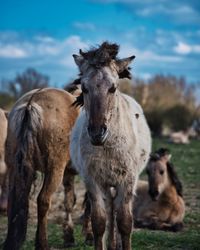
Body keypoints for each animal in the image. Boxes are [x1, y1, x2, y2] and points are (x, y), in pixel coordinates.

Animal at [2, 88, 79, 250]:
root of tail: (31, 103)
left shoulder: (69, 173)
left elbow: (69, 201)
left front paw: (69, 237)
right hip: (55, 169)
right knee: (43, 200)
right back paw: (42, 243)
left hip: (13, 169)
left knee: (13, 201)